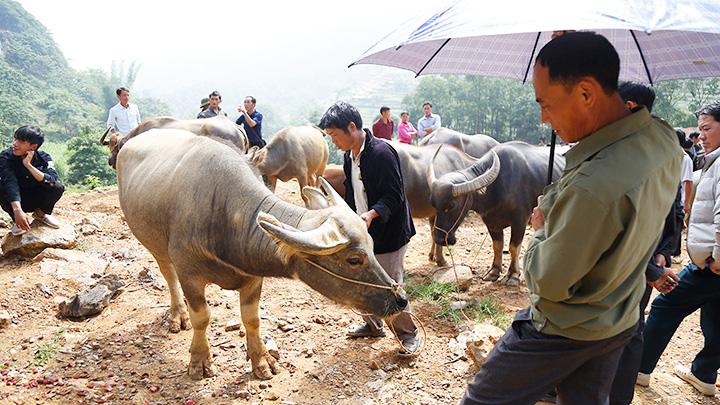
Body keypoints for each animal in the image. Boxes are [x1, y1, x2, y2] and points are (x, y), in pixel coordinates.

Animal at [118, 129, 404, 378]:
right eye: (354, 259)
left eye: (373, 246)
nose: (401, 299)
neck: (221, 213)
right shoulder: (190, 274)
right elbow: (202, 318)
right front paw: (199, 362)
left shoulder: (253, 276)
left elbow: (252, 319)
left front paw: (262, 361)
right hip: (153, 244)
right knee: (168, 275)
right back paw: (178, 314)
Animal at [430, 141, 564, 284]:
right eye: (434, 204)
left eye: (451, 206)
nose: (439, 239)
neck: (497, 186)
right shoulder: (491, 223)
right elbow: (497, 246)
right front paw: (494, 271)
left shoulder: (520, 221)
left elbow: (514, 248)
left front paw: (513, 275)